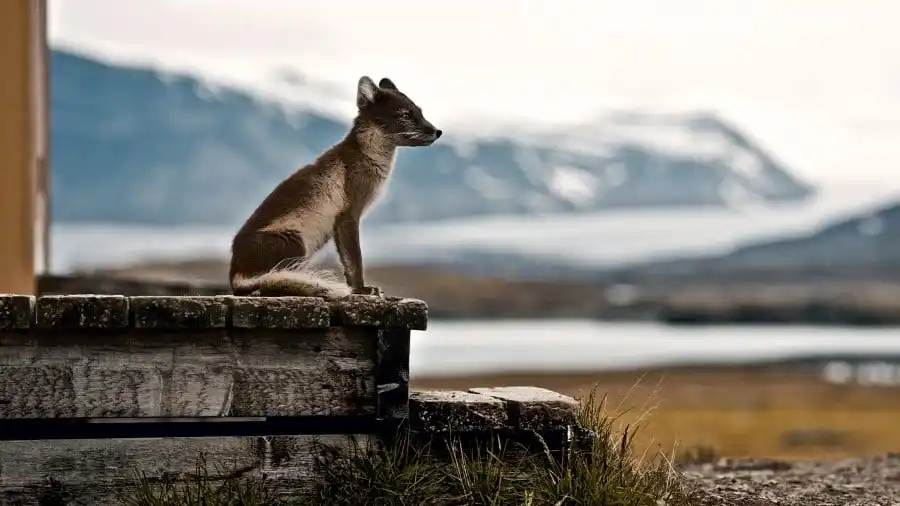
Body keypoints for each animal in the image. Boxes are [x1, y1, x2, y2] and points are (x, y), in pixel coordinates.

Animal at [229, 76, 442, 298]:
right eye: (405, 115)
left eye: (420, 112)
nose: (438, 132)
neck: (366, 157)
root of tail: (235, 275)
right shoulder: (349, 215)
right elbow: (354, 261)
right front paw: (361, 290)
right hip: (295, 244)